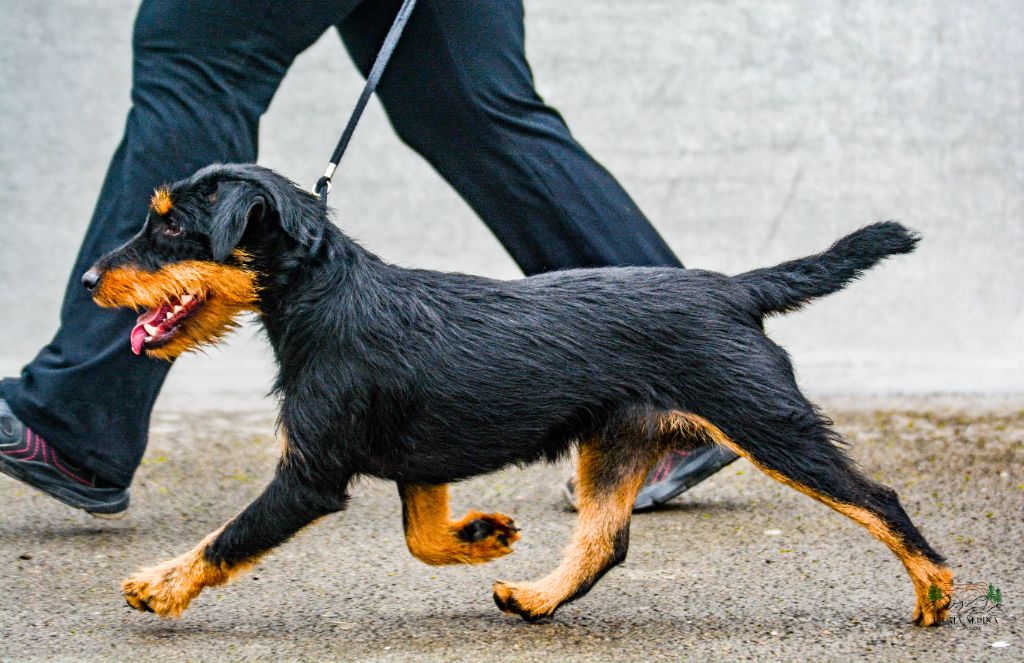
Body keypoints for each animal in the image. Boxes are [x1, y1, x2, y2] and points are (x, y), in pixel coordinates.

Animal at [83, 161, 954, 627]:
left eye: (169, 228)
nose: (89, 278)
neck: (324, 295)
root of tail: (735, 289)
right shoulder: (418, 467)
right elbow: (422, 538)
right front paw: (485, 535)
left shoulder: (309, 475)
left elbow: (226, 538)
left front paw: (159, 584)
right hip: (615, 442)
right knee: (605, 540)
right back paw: (536, 597)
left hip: (767, 423)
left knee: (878, 497)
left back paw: (935, 589)